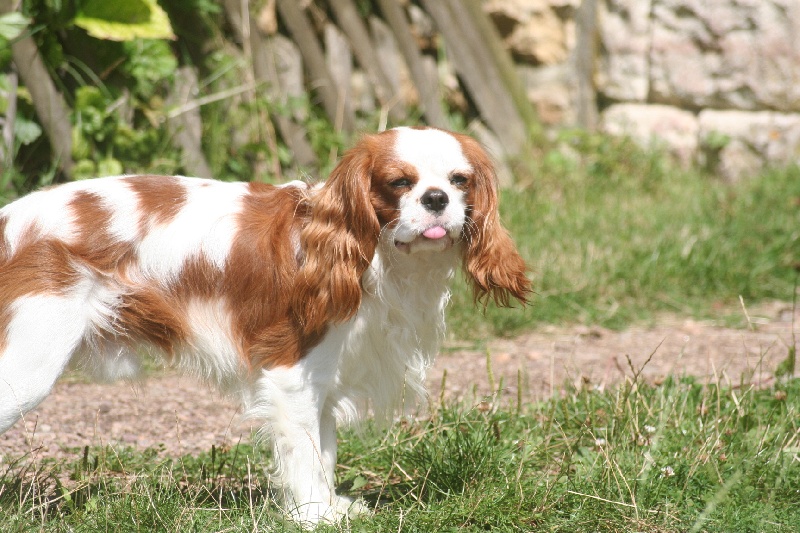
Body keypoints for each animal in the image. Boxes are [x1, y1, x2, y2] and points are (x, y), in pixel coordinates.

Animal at [0, 127, 532, 524]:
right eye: (400, 182)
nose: (437, 198)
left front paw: (331, 507)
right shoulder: (292, 374)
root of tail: (8, 220)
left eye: (460, 180)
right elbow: (306, 457)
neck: (373, 256)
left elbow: (324, 451)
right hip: (27, 365)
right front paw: (317, 516)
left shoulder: (322, 381)